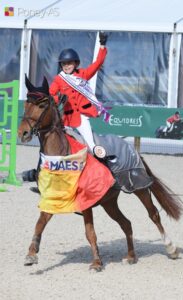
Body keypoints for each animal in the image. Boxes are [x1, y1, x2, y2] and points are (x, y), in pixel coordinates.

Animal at [17, 78, 182, 270]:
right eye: (26, 104)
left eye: (42, 105)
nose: (23, 133)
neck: (61, 157)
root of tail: (132, 149)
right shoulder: (53, 198)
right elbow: (40, 224)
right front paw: (31, 254)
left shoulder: (86, 202)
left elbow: (90, 232)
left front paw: (96, 262)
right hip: (109, 202)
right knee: (126, 223)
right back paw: (131, 256)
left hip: (139, 188)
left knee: (154, 215)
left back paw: (171, 249)